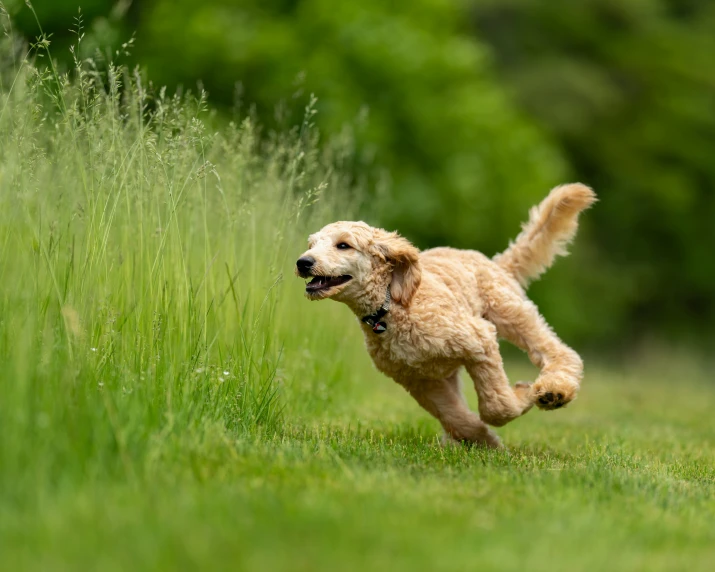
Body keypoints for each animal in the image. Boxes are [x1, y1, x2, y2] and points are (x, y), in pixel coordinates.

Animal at [298, 183, 600, 446]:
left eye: (343, 245)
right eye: (311, 244)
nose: (303, 262)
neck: (391, 307)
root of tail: (494, 262)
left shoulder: (479, 340)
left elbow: (496, 406)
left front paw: (524, 395)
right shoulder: (419, 380)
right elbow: (455, 415)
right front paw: (484, 441)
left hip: (510, 312)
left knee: (558, 351)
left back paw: (555, 391)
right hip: (449, 368)